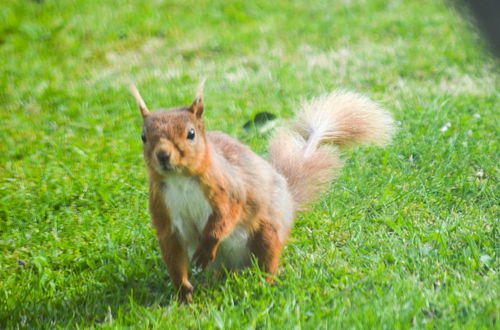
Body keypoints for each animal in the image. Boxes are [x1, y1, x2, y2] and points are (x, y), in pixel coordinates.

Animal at [130, 81, 394, 302]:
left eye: (191, 134)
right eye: (143, 137)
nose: (163, 156)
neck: (180, 180)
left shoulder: (228, 189)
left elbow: (226, 215)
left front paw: (206, 247)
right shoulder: (163, 211)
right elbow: (172, 252)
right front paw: (183, 292)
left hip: (265, 233)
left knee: (268, 260)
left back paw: (264, 283)